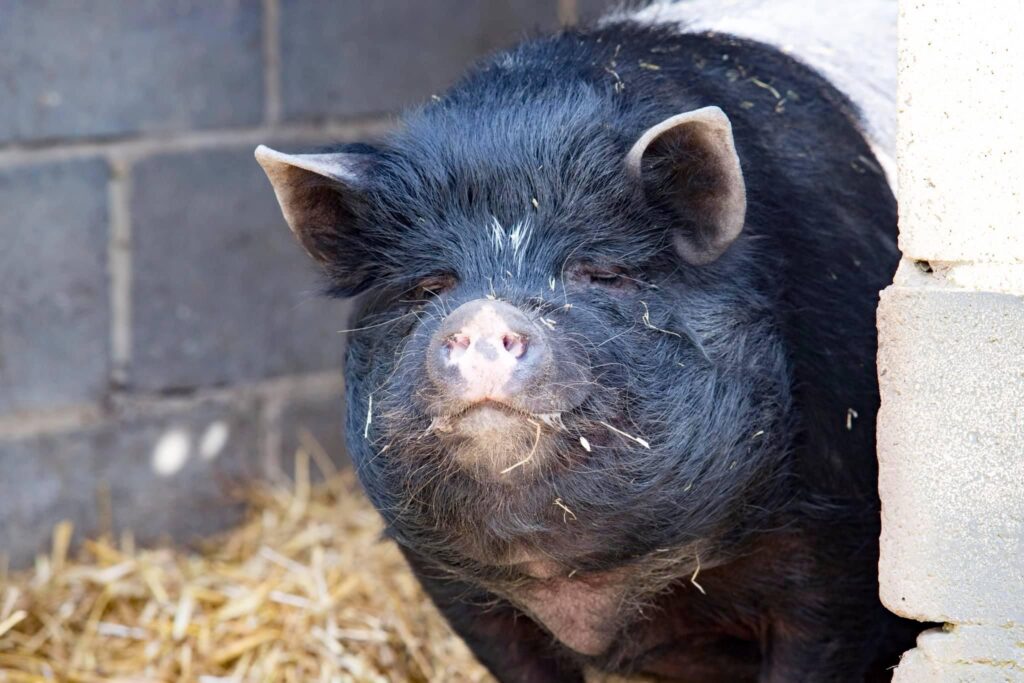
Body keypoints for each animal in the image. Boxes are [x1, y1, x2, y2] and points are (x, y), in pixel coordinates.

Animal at [256, 1, 922, 680]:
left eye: (603, 272)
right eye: (428, 286)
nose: (484, 313)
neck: (584, 590)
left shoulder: (841, 540)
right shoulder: (451, 584)